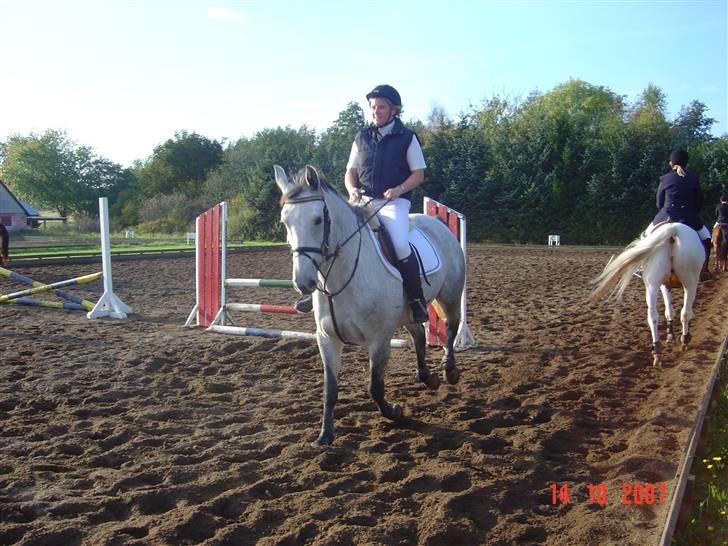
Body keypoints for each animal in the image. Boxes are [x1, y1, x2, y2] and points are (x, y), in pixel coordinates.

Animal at [272, 164, 466, 444]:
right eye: (285, 222)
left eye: (318, 220)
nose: (303, 282)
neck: (342, 277)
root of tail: (437, 222)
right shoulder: (327, 339)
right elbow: (330, 390)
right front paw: (324, 436)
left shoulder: (379, 340)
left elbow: (375, 387)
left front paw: (395, 412)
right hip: (409, 312)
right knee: (419, 335)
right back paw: (428, 378)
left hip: (450, 295)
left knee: (451, 327)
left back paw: (449, 371)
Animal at [592, 221, 704, 366]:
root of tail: (673, 229)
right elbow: (676, 311)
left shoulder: (664, 285)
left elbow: (669, 311)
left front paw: (670, 337)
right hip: (690, 284)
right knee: (685, 312)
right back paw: (684, 340)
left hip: (652, 285)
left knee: (653, 316)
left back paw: (656, 351)